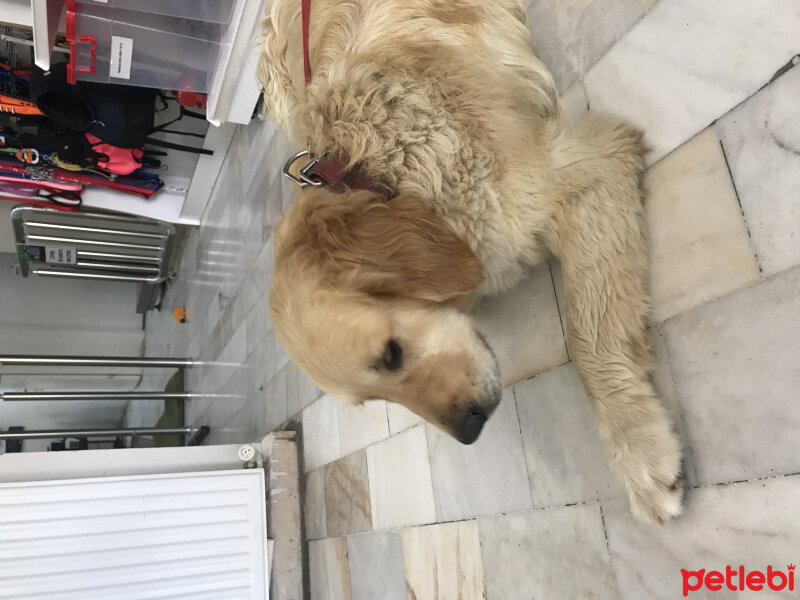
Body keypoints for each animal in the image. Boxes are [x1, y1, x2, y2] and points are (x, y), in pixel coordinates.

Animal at [260, 0, 684, 524]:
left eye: (391, 353)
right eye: (374, 397)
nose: (468, 431)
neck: (380, 175)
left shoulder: (587, 168)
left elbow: (589, 341)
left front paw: (639, 449)